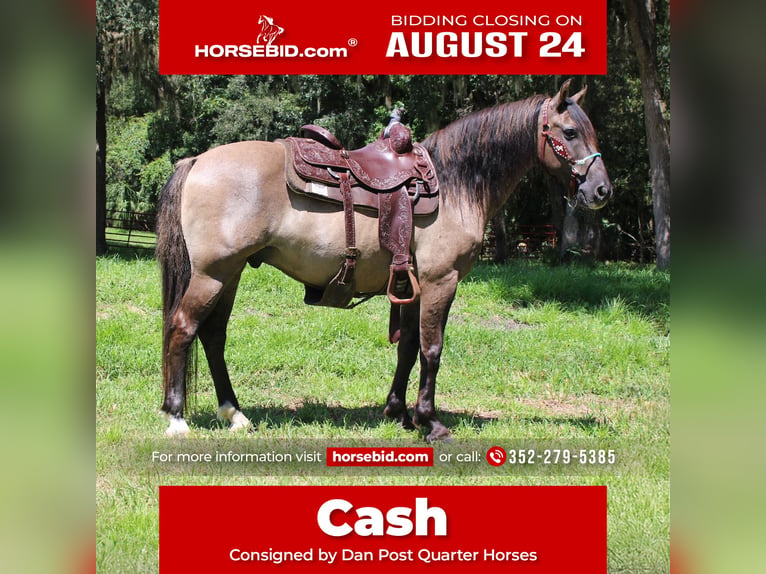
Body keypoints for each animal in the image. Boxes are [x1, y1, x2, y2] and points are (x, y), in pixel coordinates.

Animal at [155, 79, 612, 441]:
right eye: (570, 131)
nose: (602, 190)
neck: (455, 184)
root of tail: (196, 160)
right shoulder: (441, 281)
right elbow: (432, 349)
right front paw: (431, 423)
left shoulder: (411, 285)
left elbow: (407, 347)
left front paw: (399, 413)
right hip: (213, 274)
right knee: (183, 329)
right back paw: (176, 419)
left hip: (229, 273)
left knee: (213, 336)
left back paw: (234, 414)